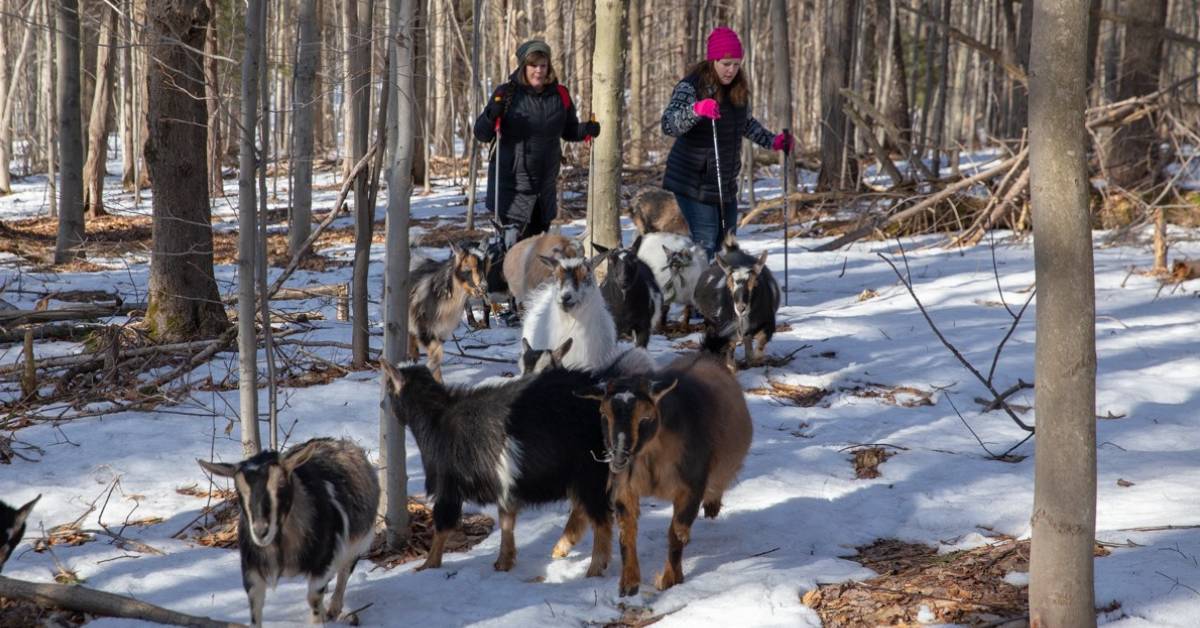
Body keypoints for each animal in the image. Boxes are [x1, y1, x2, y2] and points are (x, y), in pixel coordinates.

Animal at [195, 439, 379, 624]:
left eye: (281, 485)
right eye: (239, 491)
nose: (261, 532)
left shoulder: (324, 559)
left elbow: (314, 598)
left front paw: (320, 618)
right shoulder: (251, 566)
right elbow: (255, 605)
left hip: (359, 541)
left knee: (345, 571)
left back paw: (334, 609)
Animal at [379, 360, 614, 578]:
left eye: (389, 387)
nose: (382, 404)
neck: (435, 417)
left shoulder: (448, 485)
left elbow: (442, 525)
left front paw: (427, 565)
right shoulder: (504, 483)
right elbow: (506, 520)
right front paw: (504, 562)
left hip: (589, 468)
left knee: (600, 518)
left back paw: (594, 568)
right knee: (583, 508)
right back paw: (561, 548)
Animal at [408, 240, 487, 381]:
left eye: (483, 267)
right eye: (467, 268)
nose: (483, 288)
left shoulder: (441, 332)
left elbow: (437, 354)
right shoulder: (425, 327)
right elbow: (437, 355)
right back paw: (413, 355)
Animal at [578, 353, 748, 595]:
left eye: (646, 417)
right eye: (604, 414)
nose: (619, 458)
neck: (652, 455)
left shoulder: (691, 485)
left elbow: (675, 533)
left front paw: (669, 579)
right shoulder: (624, 486)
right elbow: (627, 532)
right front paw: (629, 585)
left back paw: (712, 506)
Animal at [691, 238, 782, 372]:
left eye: (754, 284)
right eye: (729, 285)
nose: (740, 308)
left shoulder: (768, 322)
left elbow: (760, 344)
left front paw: (755, 360)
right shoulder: (725, 330)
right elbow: (729, 353)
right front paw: (730, 368)